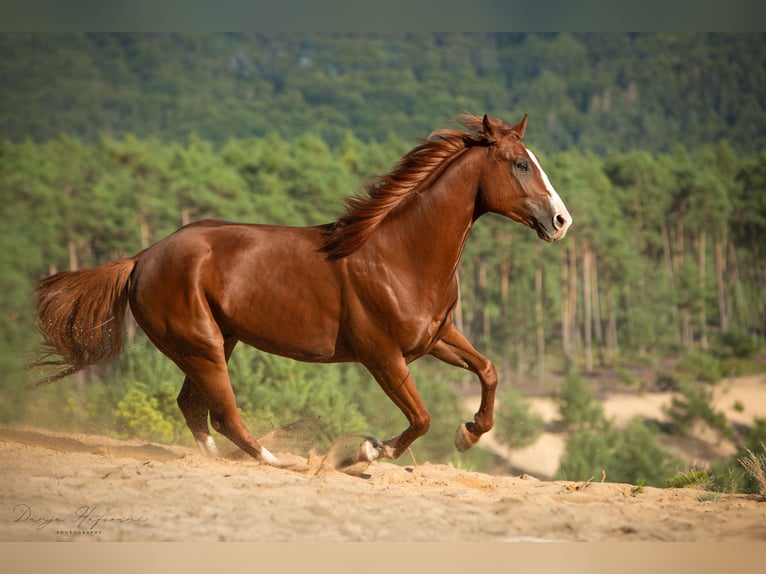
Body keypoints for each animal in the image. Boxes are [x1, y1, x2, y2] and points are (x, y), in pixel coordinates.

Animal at [30, 114, 571, 467]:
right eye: (519, 164)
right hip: (202, 346)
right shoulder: (382, 355)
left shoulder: (436, 338)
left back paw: (220, 459)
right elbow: (420, 417)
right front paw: (368, 451)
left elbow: (489, 370)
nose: (561, 221)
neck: (399, 254)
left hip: (214, 342)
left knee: (193, 408)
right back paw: (275, 459)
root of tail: (141, 258)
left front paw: (469, 433)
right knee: (223, 412)